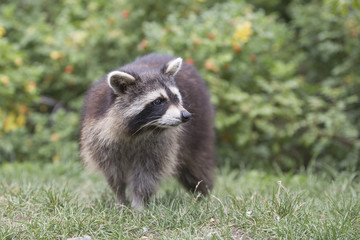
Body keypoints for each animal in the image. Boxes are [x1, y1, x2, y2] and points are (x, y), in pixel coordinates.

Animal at [80, 53, 215, 210]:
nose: (186, 116)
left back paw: (202, 194)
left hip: (200, 126)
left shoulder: (158, 146)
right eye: (158, 101)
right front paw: (120, 200)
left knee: (197, 165)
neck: (139, 129)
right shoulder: (100, 137)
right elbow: (114, 174)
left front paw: (139, 203)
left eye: (176, 97)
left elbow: (146, 174)